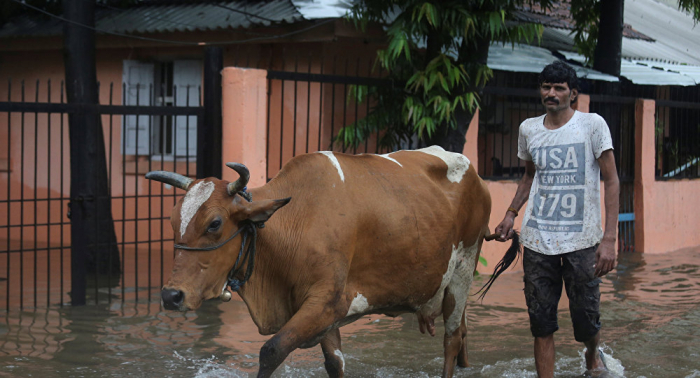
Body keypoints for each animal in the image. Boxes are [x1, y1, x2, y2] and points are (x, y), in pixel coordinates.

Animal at [148, 147, 516, 378]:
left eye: (214, 224)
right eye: (172, 221)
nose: (171, 295)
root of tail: (476, 175)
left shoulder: (326, 303)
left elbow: (271, 351)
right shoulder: (323, 317)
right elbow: (334, 364)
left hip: (463, 270)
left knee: (452, 340)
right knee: (463, 334)